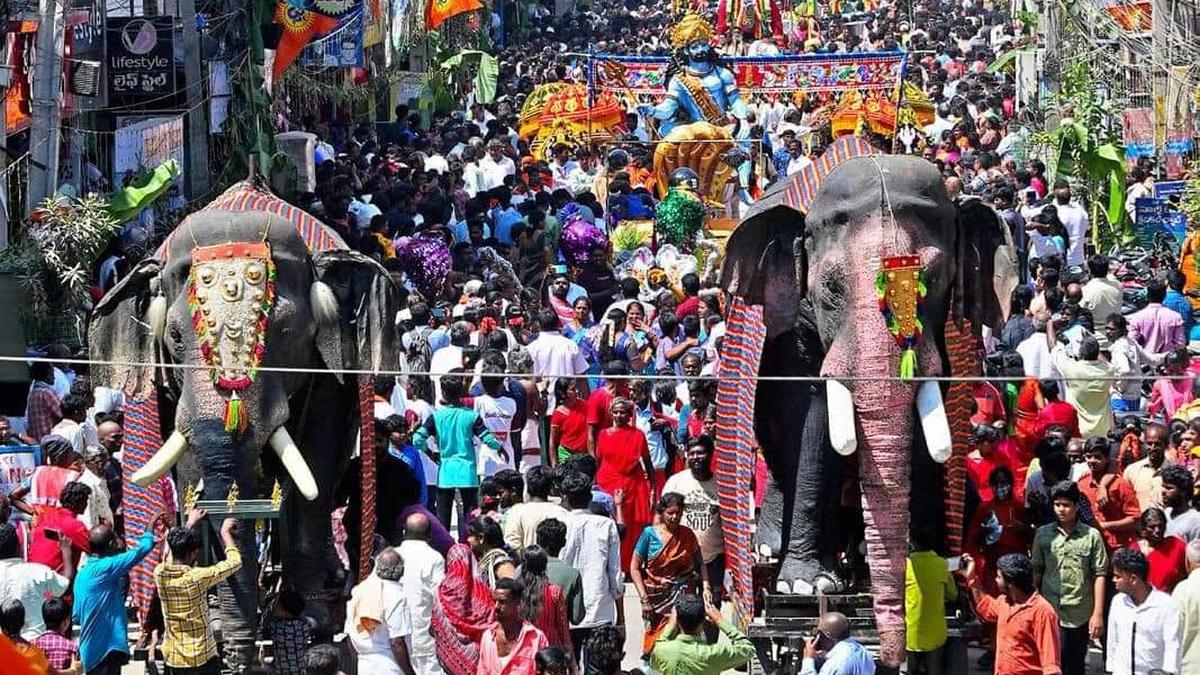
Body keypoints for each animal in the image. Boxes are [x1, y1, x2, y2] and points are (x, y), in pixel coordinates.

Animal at [90, 183, 398, 667]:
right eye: (174, 339)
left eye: (287, 334)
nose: (239, 656)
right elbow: (191, 466)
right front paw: (215, 617)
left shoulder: (331, 370)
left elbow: (315, 463)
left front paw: (314, 620)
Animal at [715, 139, 1017, 662]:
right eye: (830, 289)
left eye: (935, 283)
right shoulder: (795, 324)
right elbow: (813, 414)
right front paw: (805, 587)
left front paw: (923, 557)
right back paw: (774, 553)